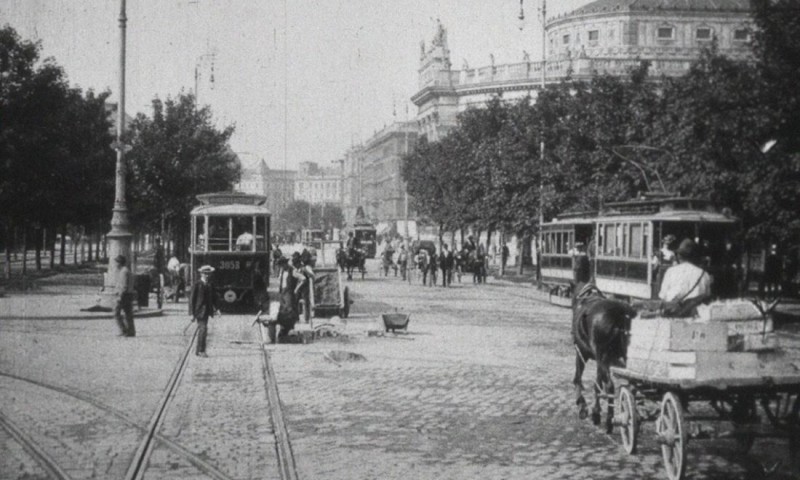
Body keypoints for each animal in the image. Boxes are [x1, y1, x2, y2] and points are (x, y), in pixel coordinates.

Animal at [572, 284, 636, 434]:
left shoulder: (581, 353)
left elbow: (578, 379)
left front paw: (583, 406)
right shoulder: (599, 361)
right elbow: (597, 384)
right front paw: (596, 411)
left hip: (602, 358)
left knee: (610, 386)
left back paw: (610, 420)